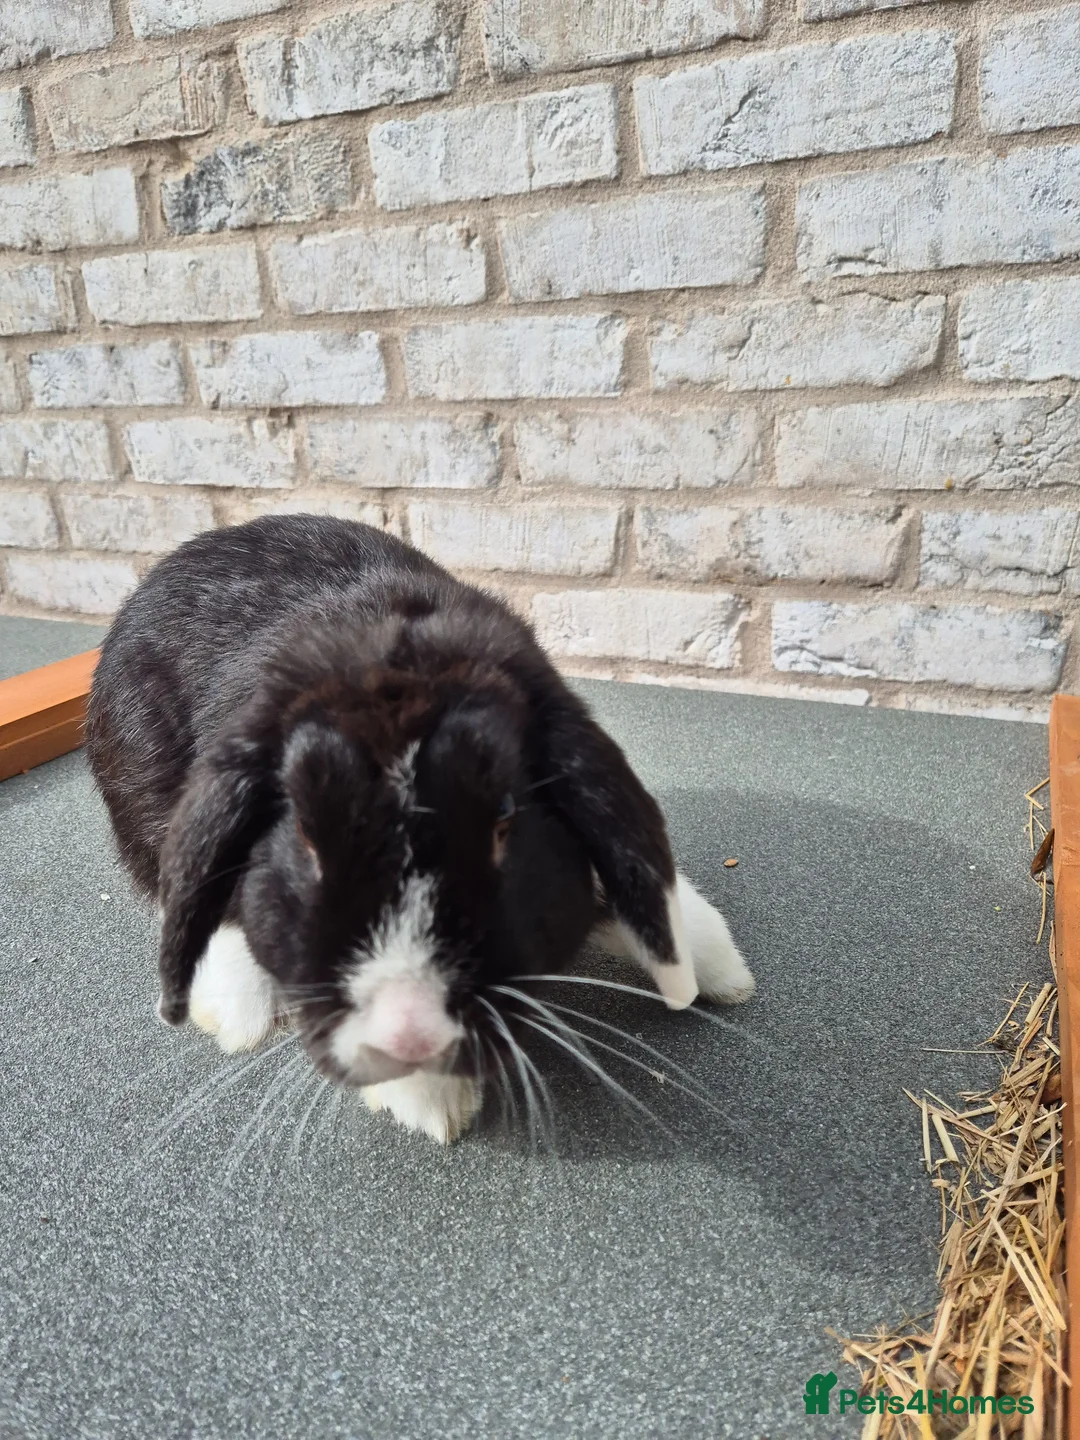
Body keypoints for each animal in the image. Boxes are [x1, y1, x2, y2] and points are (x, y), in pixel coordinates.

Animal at [86, 515, 754, 1143]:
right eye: (307, 834)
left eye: (504, 821)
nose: (410, 1033)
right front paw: (430, 1102)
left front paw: (719, 972)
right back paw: (236, 1013)